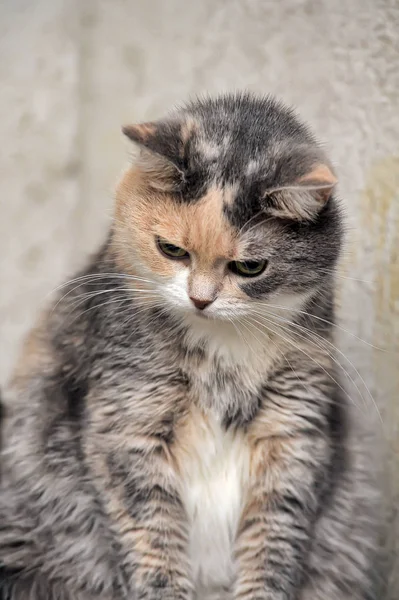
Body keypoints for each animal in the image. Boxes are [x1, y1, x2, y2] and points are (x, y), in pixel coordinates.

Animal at [0, 92, 382, 600]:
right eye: (171, 250)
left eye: (250, 267)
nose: (201, 299)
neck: (225, 347)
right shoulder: (126, 423)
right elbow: (151, 536)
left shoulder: (293, 427)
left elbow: (274, 540)